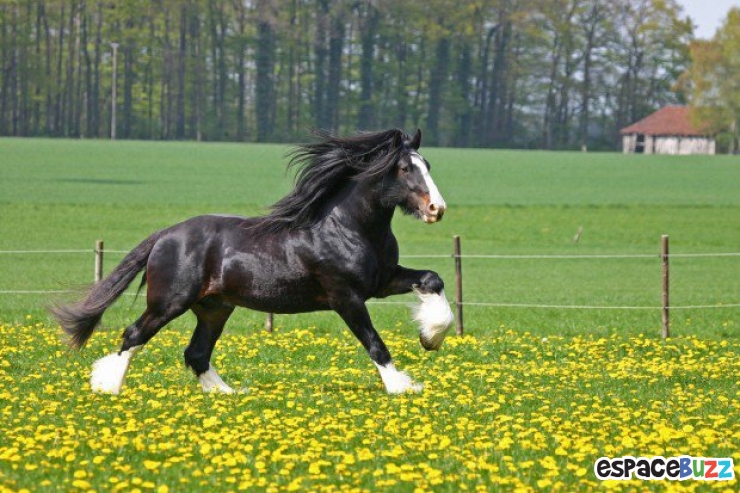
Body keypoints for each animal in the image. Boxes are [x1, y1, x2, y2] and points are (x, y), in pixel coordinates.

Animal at [50, 128, 454, 395]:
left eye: (428, 164)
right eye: (405, 168)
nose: (437, 209)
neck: (347, 226)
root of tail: (165, 235)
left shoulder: (382, 281)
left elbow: (432, 279)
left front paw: (430, 337)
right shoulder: (346, 296)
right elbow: (373, 341)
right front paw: (402, 385)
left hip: (214, 308)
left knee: (196, 353)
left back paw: (228, 394)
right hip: (169, 302)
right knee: (133, 335)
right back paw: (106, 386)